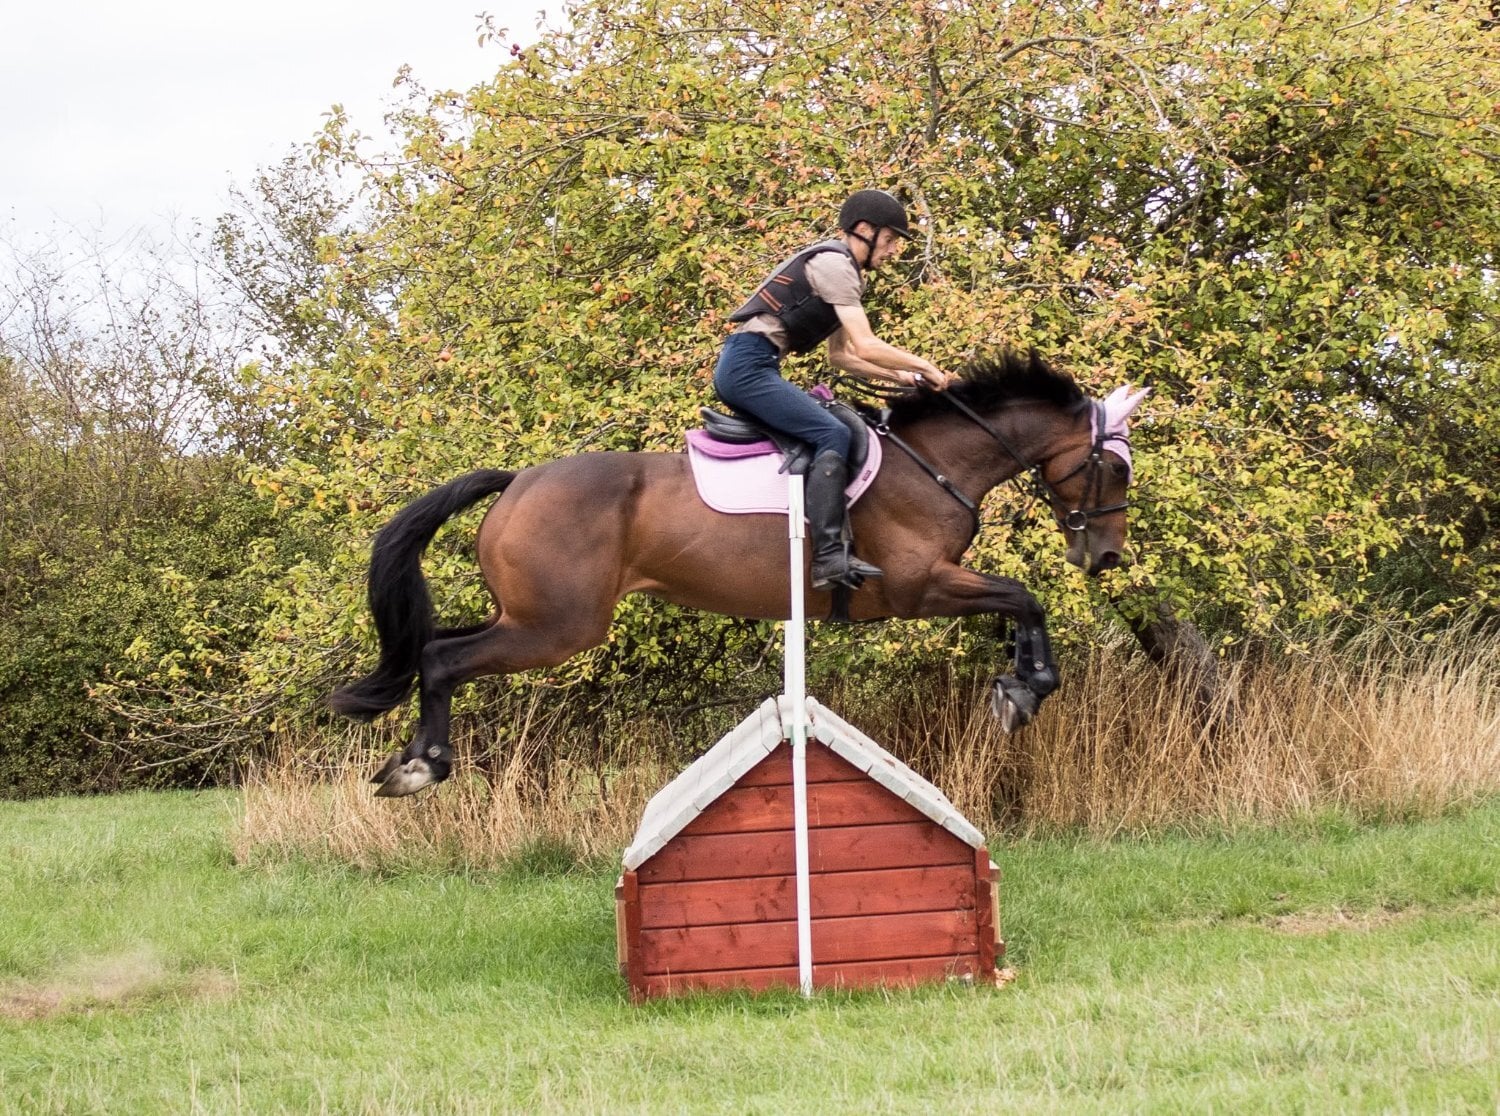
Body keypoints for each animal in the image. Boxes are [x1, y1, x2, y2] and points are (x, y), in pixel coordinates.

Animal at [331, 350, 1148, 797]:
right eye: (1112, 467)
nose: (1104, 556)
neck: (934, 463)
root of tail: (518, 481)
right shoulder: (919, 586)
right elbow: (1024, 597)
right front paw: (1025, 690)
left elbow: (1020, 605)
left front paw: (1020, 685)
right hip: (557, 627)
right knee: (442, 658)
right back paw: (422, 766)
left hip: (529, 616)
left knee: (433, 648)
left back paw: (413, 757)